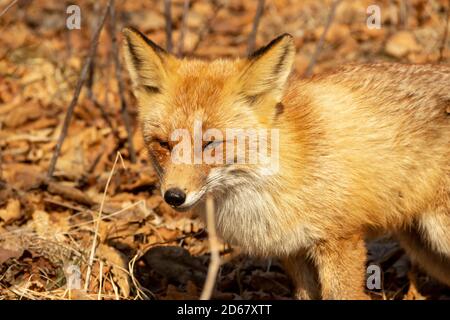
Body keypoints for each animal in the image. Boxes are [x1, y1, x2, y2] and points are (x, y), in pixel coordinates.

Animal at [122, 27, 450, 300]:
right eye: (164, 144)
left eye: (211, 143)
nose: (174, 196)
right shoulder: (293, 250)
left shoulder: (341, 239)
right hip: (425, 248)